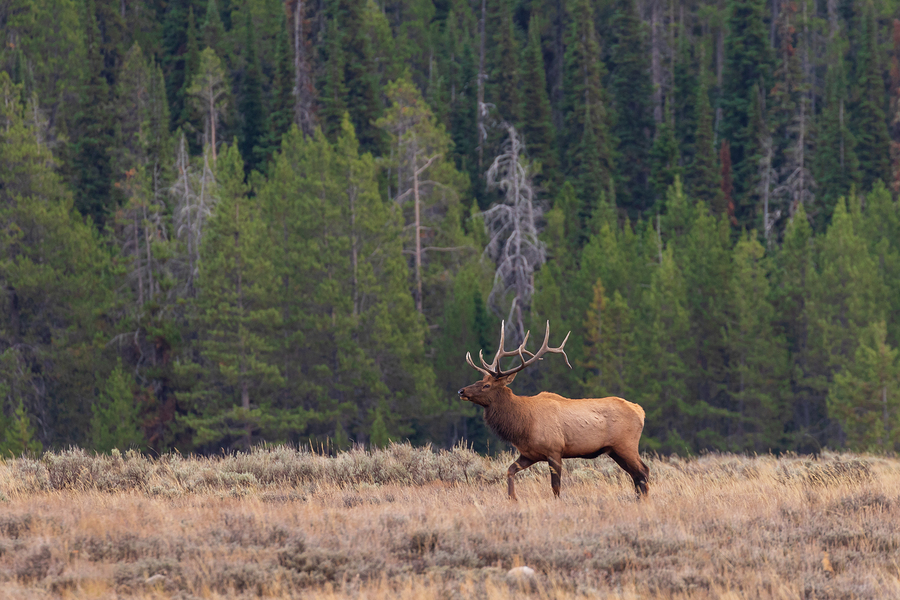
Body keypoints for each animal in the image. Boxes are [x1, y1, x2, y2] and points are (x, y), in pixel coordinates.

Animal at [458, 322, 648, 500]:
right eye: (480, 380)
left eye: (486, 385)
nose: (461, 391)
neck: (523, 425)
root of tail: (640, 411)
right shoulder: (529, 454)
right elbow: (510, 470)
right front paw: (513, 498)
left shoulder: (555, 450)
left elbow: (555, 487)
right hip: (615, 450)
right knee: (635, 474)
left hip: (626, 444)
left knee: (643, 471)